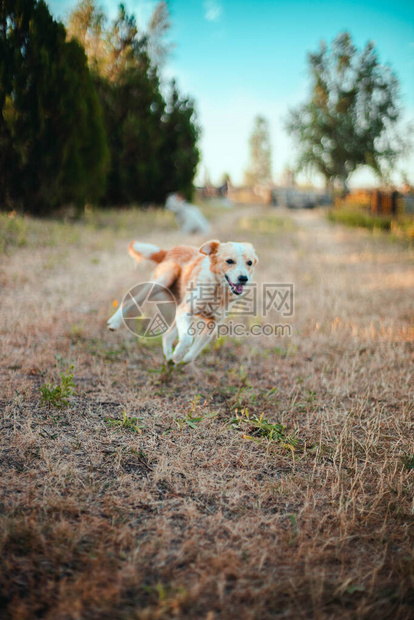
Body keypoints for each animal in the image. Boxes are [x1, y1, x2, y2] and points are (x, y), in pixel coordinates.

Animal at [108, 237, 260, 364]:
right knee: (130, 301)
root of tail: (171, 250)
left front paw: (180, 358)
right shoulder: (185, 309)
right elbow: (187, 338)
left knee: (167, 335)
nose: (244, 278)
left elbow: (192, 354)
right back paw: (114, 322)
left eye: (249, 263)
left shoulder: (212, 323)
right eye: (229, 261)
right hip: (163, 281)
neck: (217, 290)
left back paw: (169, 357)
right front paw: (178, 354)